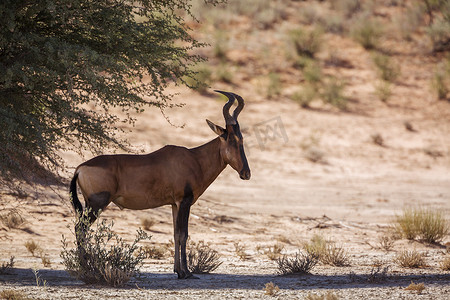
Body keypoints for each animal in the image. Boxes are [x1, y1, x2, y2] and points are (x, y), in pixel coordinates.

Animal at [70, 91, 250, 278]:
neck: (194, 159)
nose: (246, 173)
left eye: (242, 138)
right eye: (232, 139)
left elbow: (175, 234)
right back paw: (86, 268)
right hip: (97, 204)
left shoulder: (174, 204)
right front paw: (186, 273)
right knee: (80, 229)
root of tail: (80, 168)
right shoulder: (185, 202)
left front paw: (178, 270)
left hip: (89, 204)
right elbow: (184, 234)